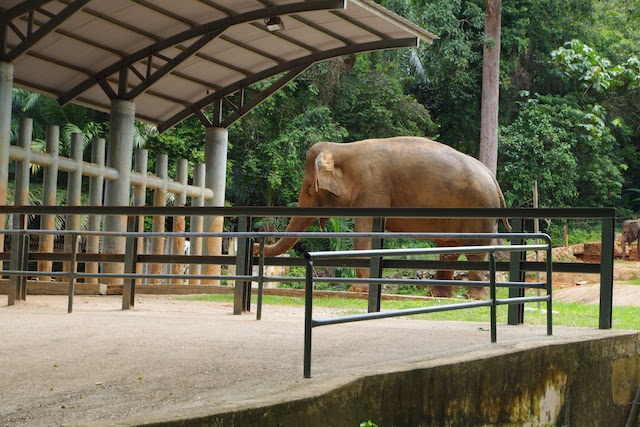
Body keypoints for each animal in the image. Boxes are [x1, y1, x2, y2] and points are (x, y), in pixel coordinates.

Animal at [255, 137, 510, 300]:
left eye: (309, 187)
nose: (257, 244)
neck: (344, 149)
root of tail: (493, 177)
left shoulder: (372, 187)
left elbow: (364, 233)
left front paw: (358, 291)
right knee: (448, 249)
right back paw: (435, 294)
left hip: (479, 211)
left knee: (474, 250)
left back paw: (471, 296)